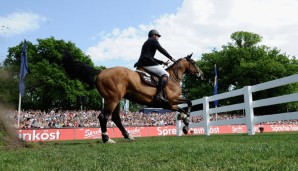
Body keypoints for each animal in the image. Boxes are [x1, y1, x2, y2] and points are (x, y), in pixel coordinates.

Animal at [62, 51, 203, 143]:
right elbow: (189, 104)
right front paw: (185, 123)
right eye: (194, 63)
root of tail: (101, 71)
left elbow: (184, 108)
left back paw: (128, 135)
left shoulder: (170, 104)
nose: (201, 74)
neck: (172, 78)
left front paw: (184, 123)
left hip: (115, 100)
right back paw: (107, 138)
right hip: (112, 99)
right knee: (103, 117)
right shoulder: (171, 101)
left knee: (116, 118)